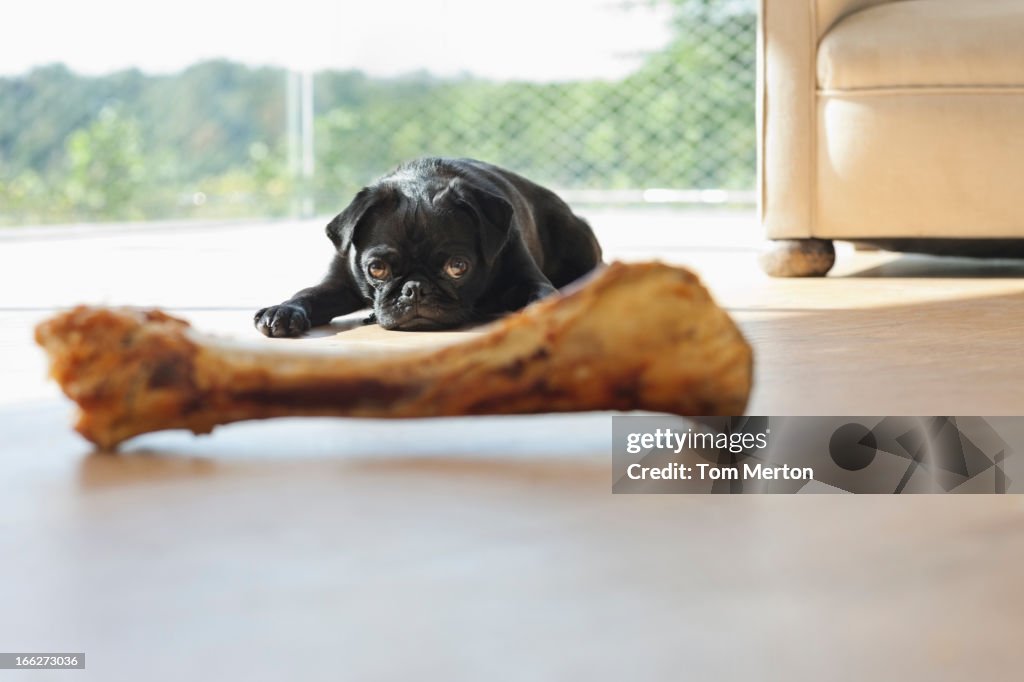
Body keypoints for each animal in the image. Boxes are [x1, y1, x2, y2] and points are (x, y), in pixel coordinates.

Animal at [256, 154, 602, 333]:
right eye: (376, 269)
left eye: (457, 267)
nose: (415, 289)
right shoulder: (337, 283)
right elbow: (308, 293)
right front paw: (283, 311)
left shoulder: (525, 277)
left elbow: (541, 294)